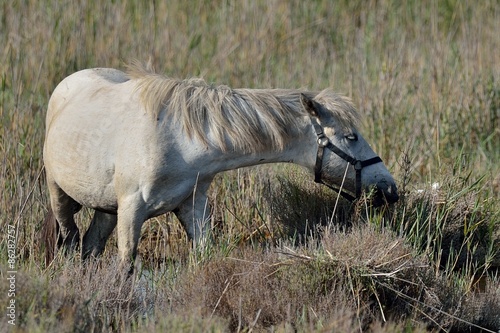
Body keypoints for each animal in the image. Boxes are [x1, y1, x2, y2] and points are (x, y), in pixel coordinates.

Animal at [43, 64, 398, 270]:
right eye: (351, 137)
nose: (390, 189)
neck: (179, 140)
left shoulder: (192, 206)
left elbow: (203, 255)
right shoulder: (132, 210)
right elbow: (127, 266)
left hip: (106, 208)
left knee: (90, 245)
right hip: (60, 196)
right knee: (70, 238)